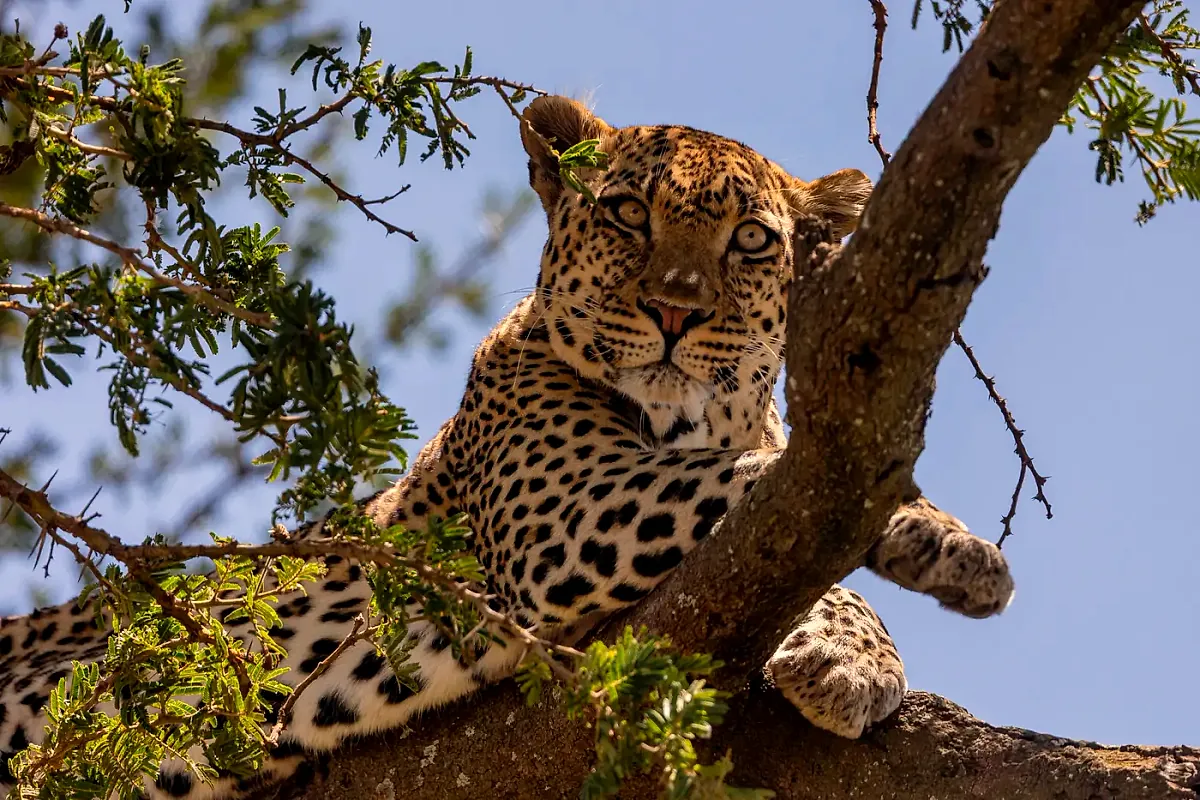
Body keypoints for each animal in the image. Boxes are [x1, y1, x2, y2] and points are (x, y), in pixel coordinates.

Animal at [0, 95, 1014, 799]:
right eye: (627, 215)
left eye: (753, 240)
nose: (675, 311)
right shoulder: (561, 514)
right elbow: (751, 483)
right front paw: (947, 546)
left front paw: (859, 655)